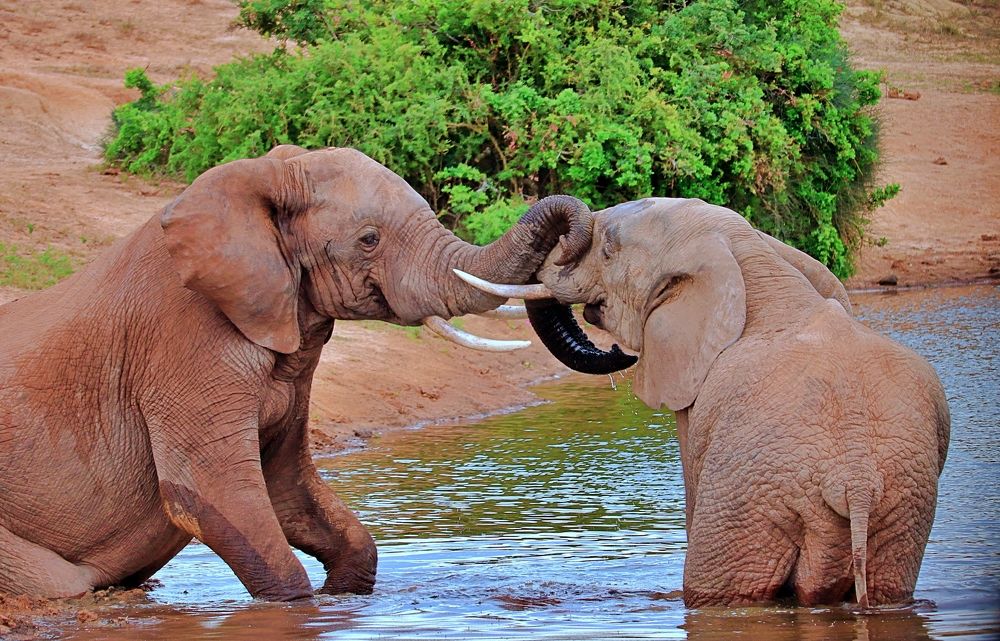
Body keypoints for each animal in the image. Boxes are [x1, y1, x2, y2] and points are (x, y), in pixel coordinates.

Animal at [0, 145, 593, 601]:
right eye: (369, 239)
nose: (574, 237)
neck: (262, 175)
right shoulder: (182, 339)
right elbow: (211, 492)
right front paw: (296, 606)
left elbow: (288, 486)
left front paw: (343, 598)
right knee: (60, 583)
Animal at [458, 197, 950, 608]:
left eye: (610, 249)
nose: (618, 352)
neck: (751, 254)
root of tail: (855, 481)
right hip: (902, 510)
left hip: (749, 498)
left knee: (721, 593)